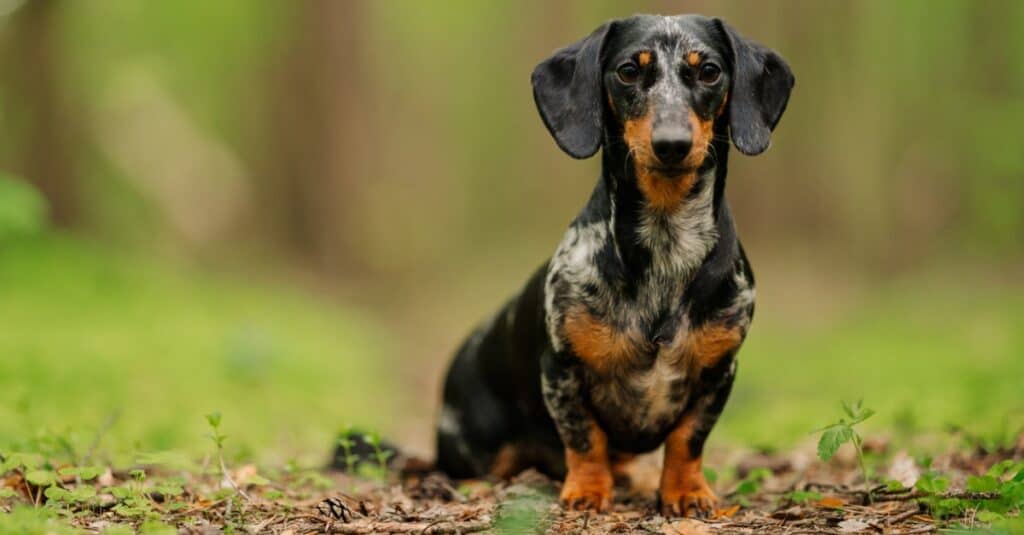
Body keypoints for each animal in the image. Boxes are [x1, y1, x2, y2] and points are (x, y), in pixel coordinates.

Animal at [432, 14, 790, 514]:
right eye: (627, 70)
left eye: (709, 71)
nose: (672, 144)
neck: (666, 242)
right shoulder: (561, 369)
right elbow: (585, 439)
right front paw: (587, 490)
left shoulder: (719, 372)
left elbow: (688, 439)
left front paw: (685, 491)